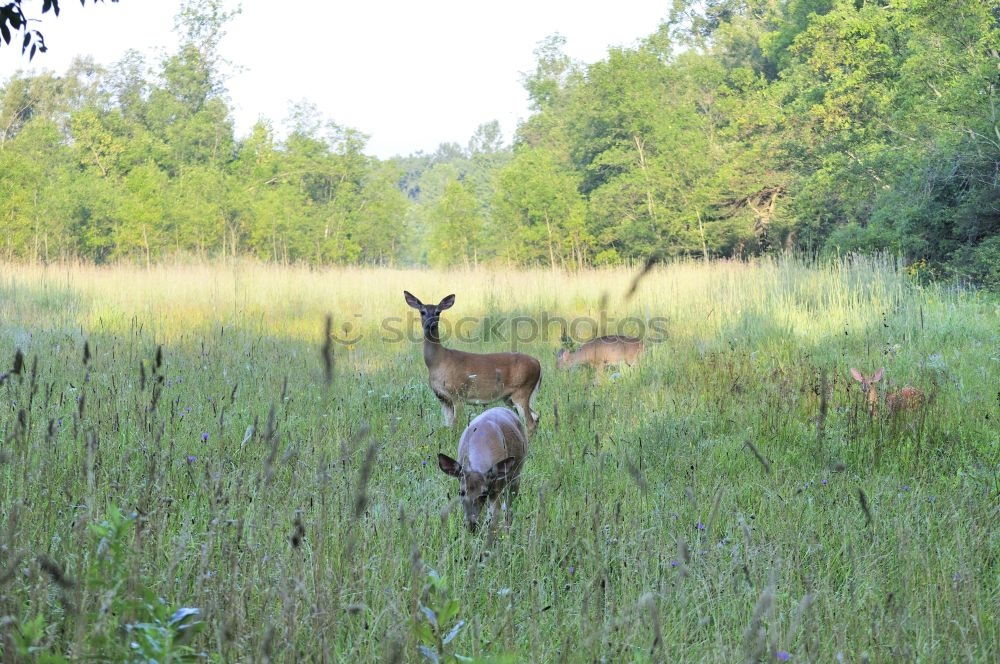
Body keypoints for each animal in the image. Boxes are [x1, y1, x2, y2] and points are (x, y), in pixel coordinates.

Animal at [402, 292, 544, 436]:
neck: (437, 363)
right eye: (422, 312)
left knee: (530, 422)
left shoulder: (458, 393)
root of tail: (537, 363)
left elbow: (456, 425)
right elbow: (448, 425)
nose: (430, 324)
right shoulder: (442, 398)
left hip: (522, 390)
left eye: (438, 312)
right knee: (536, 416)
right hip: (509, 397)